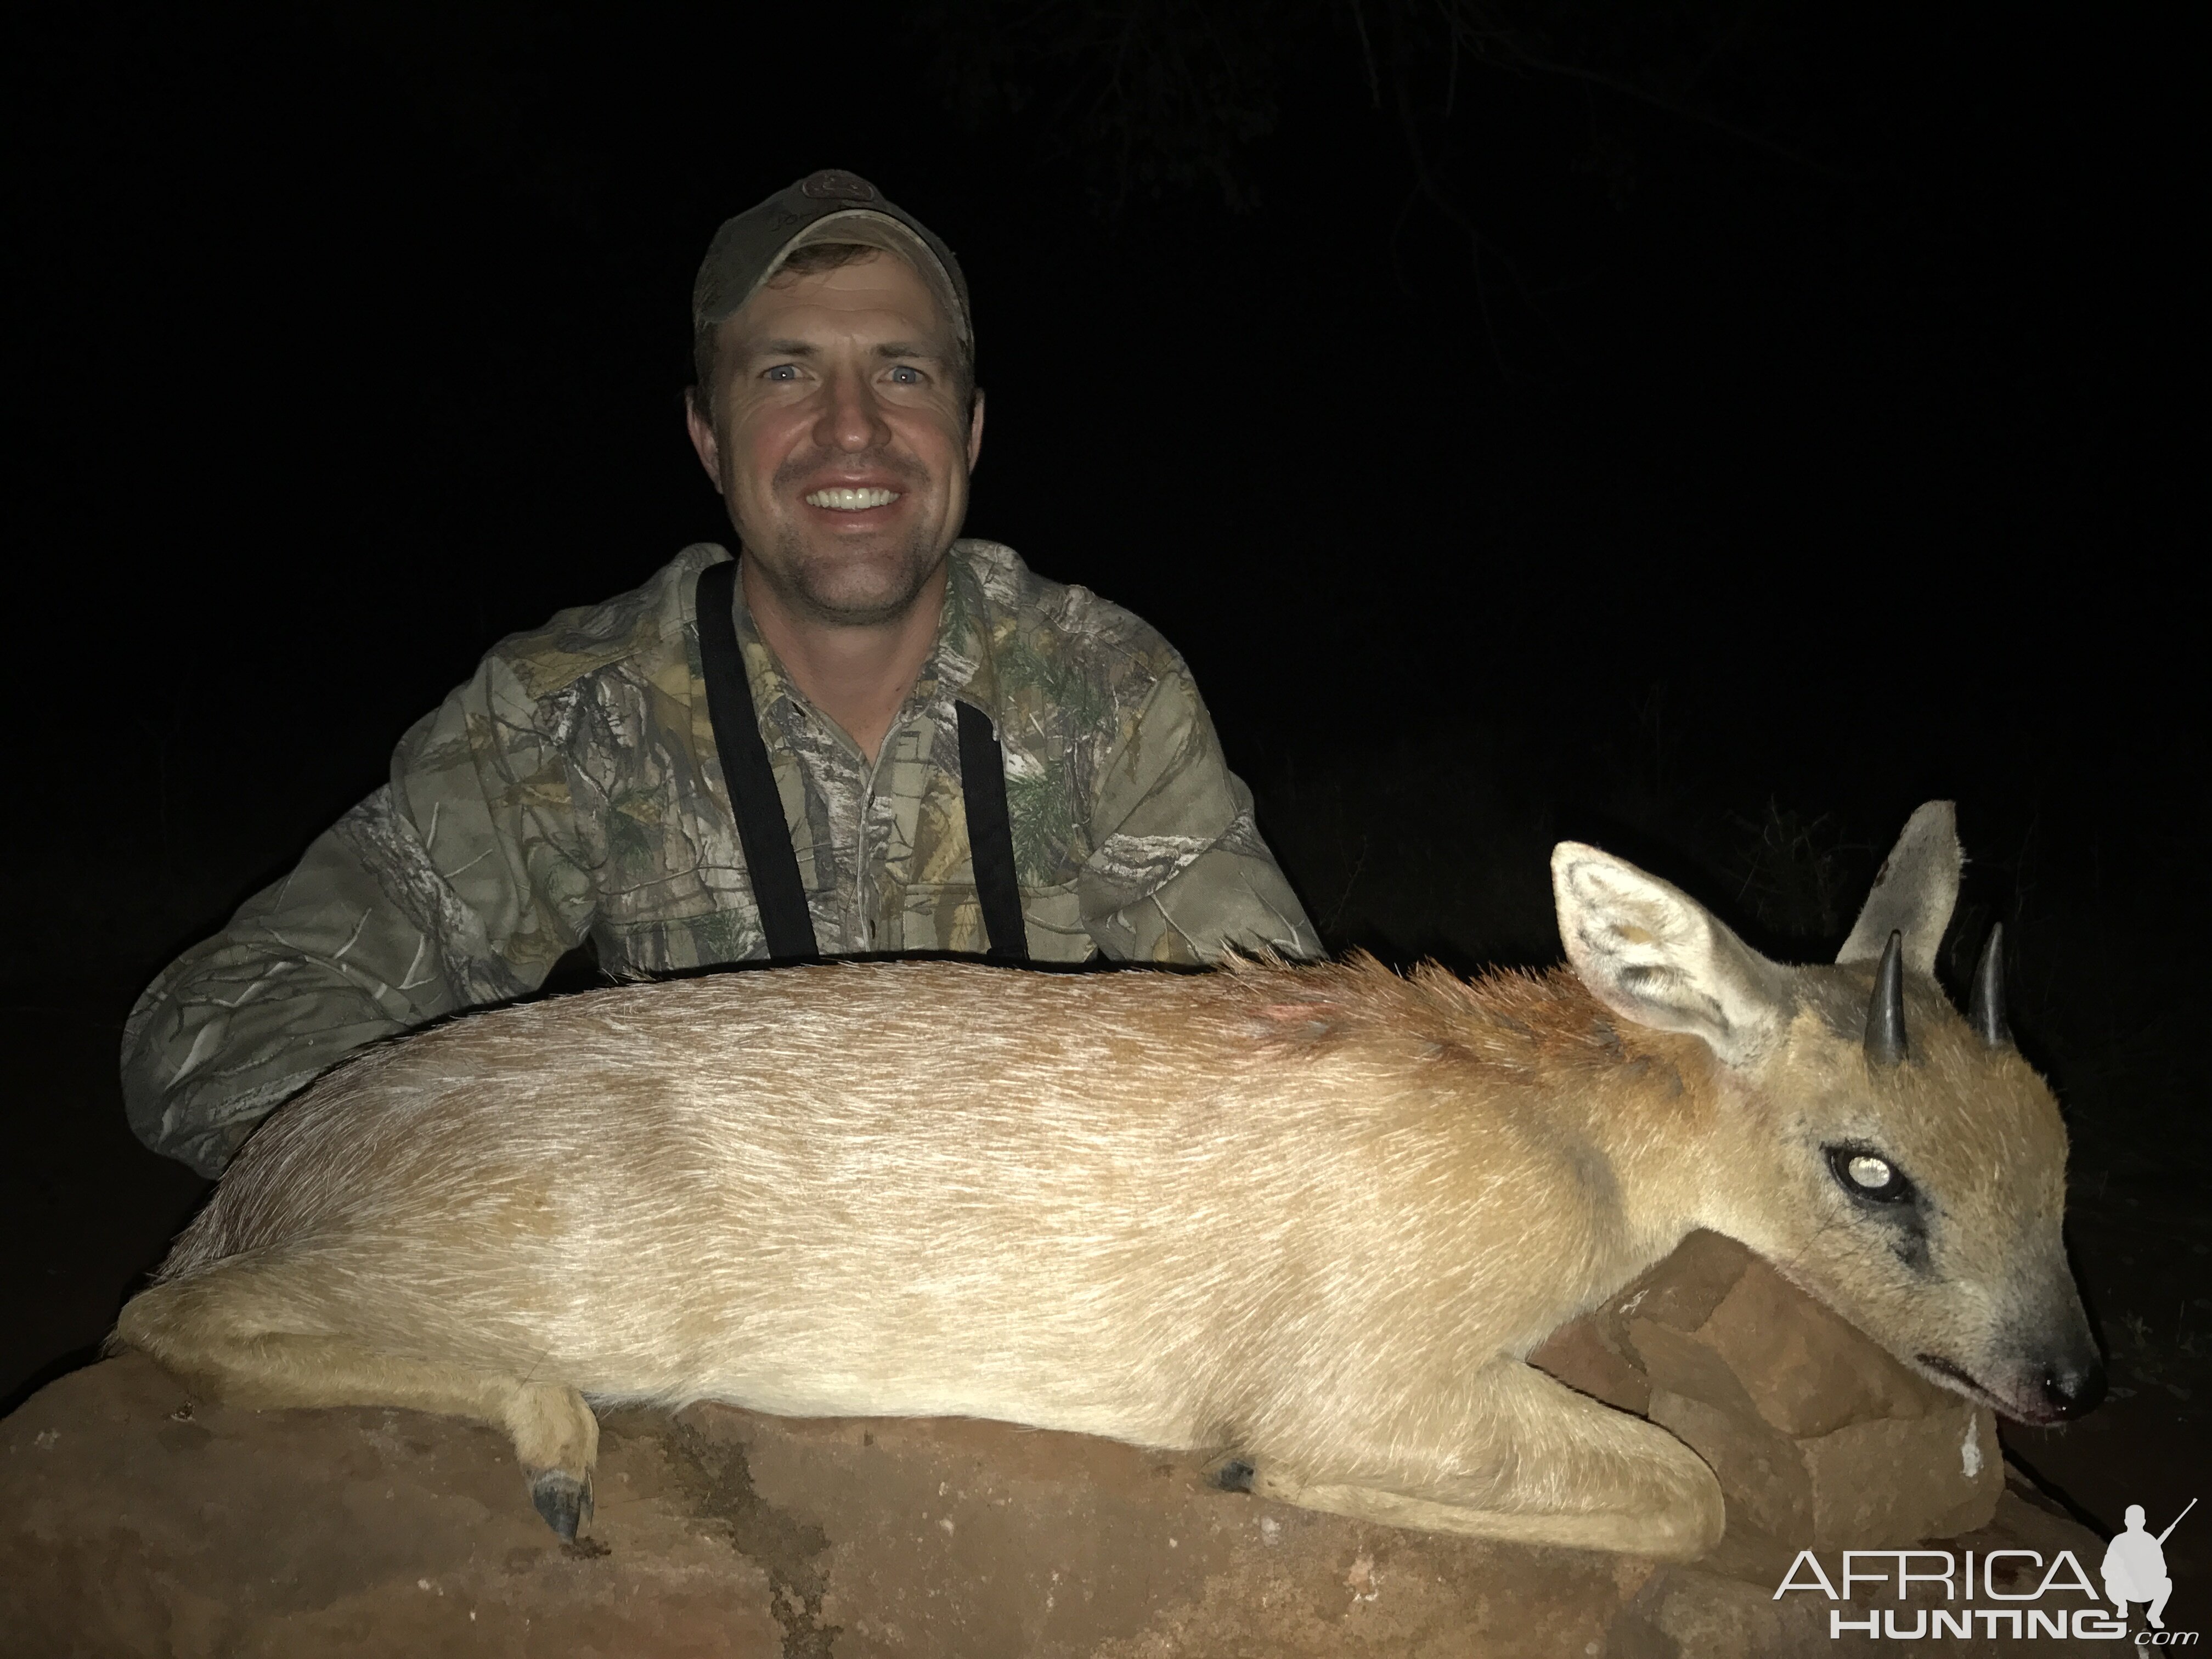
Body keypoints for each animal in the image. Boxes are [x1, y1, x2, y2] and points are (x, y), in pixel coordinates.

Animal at [116, 805, 2088, 1557]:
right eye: (1870, 1169)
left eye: (2061, 1147)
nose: (2067, 1375)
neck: (1573, 1139)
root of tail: (264, 1168)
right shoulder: (1362, 1380)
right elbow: (1689, 1492)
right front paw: (1235, 1471)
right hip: (531, 1279)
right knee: (160, 1314)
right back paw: (549, 1450)